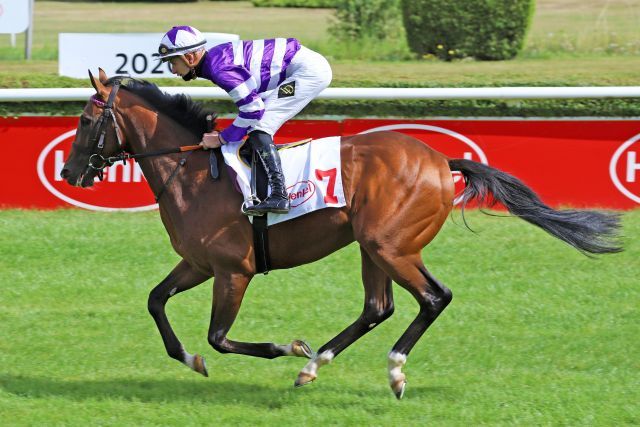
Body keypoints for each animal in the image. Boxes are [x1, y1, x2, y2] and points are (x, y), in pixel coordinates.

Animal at [60, 71, 620, 402]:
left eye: (86, 119)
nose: (69, 172)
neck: (194, 173)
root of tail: (441, 160)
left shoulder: (233, 270)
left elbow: (219, 337)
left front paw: (287, 347)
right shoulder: (197, 263)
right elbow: (156, 302)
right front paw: (190, 360)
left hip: (392, 245)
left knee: (434, 297)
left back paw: (390, 369)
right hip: (373, 246)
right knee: (378, 307)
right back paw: (316, 366)